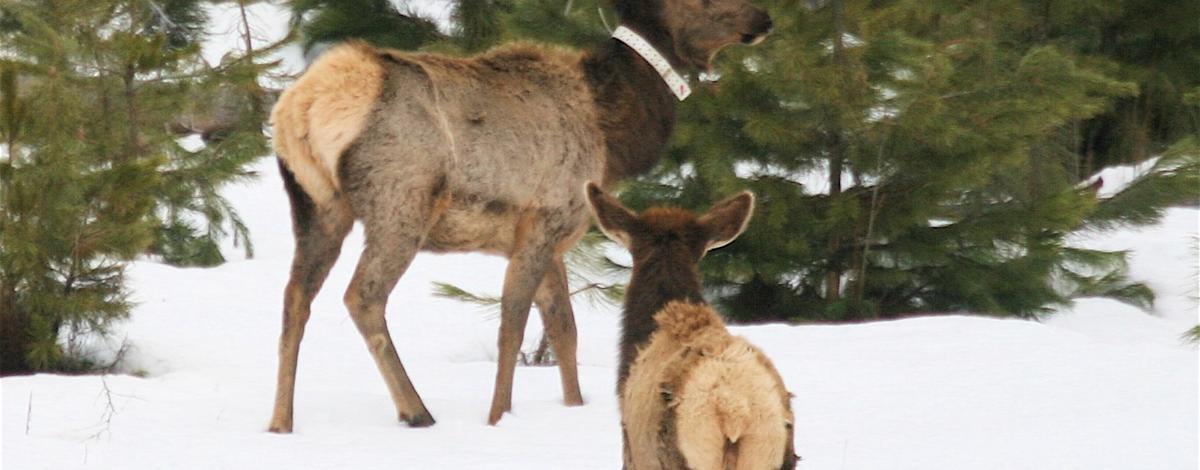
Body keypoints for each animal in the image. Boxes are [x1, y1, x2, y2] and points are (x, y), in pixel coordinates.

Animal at [265, 0, 768, 431]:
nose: (764, 19)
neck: (612, 138)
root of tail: (304, 105)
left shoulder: (557, 234)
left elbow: (564, 328)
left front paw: (574, 404)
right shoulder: (544, 217)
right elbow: (514, 323)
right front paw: (499, 415)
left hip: (316, 206)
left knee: (295, 295)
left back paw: (280, 421)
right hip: (400, 202)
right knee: (362, 296)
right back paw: (416, 410)